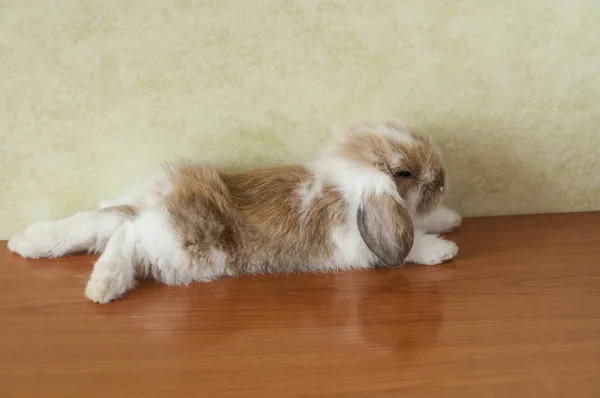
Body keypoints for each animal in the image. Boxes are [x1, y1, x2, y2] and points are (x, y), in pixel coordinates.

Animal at [8, 123, 460, 304]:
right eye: (405, 173)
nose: (443, 181)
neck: (349, 189)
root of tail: (159, 202)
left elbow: (420, 222)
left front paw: (450, 218)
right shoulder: (361, 246)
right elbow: (409, 245)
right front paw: (443, 250)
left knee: (95, 224)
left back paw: (26, 242)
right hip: (182, 249)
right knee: (127, 235)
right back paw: (104, 286)